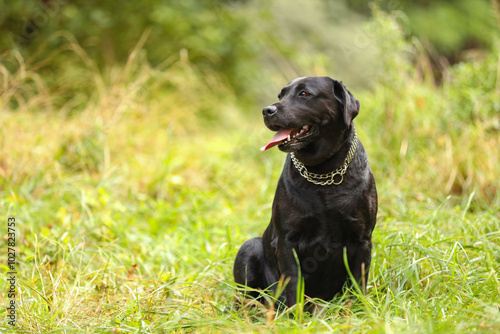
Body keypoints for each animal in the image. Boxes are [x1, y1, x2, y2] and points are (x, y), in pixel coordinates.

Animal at [232, 75, 376, 308]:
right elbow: (293, 282)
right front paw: (295, 313)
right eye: (281, 95)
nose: (267, 110)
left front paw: (359, 311)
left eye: (304, 93)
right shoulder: (288, 240)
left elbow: (358, 282)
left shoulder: (362, 239)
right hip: (249, 247)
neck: (323, 173)